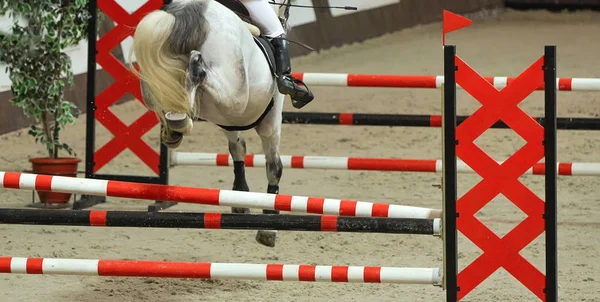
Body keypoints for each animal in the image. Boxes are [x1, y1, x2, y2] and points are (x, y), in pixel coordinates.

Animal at [131, 0, 288, 247]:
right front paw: (269, 225)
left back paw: (175, 123)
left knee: (164, 95)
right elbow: (274, 167)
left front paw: (240, 195)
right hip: (235, 92)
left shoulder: (229, 123)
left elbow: (237, 149)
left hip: (153, 71)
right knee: (204, 78)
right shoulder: (270, 120)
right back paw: (194, 73)